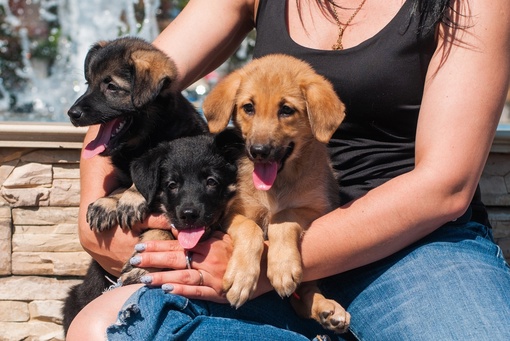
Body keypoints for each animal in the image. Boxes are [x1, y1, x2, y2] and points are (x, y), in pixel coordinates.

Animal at [62, 36, 207, 332]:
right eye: (89, 83)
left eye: (111, 86)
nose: (72, 113)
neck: (148, 138)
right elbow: (120, 185)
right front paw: (108, 202)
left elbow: (162, 230)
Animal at [203, 53, 350, 332]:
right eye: (248, 107)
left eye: (286, 110)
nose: (258, 151)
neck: (277, 185)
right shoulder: (232, 213)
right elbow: (250, 229)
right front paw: (241, 277)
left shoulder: (317, 210)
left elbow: (283, 217)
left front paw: (282, 267)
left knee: (305, 294)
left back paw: (326, 309)